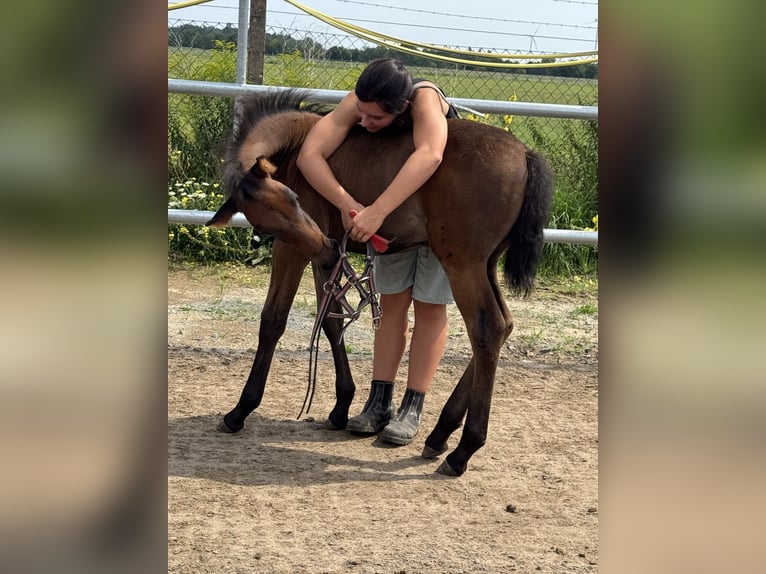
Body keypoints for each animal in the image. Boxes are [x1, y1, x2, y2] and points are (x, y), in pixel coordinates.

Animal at [206, 90, 553, 476]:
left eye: (294, 200)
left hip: (463, 265)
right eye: (265, 224)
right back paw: (440, 432)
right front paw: (341, 407)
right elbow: (330, 321)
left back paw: (463, 450)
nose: (327, 246)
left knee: (487, 328)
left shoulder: (293, 251)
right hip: (486, 264)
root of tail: (525, 154)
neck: (297, 145)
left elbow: (273, 320)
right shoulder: (322, 256)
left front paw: (240, 410)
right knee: (503, 325)